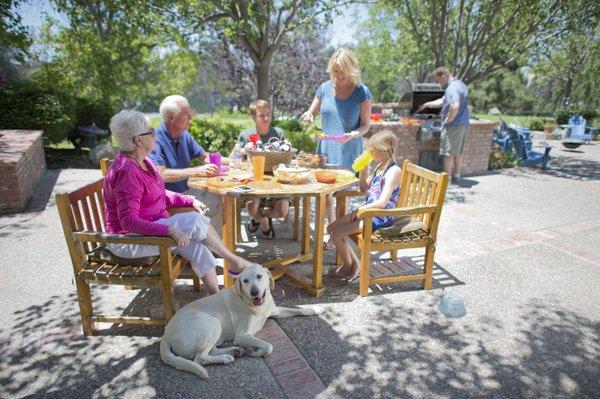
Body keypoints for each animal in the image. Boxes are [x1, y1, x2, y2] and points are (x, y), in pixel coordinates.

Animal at [158, 264, 318, 380]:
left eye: (259, 276)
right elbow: (269, 346)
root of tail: (165, 334)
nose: (254, 292)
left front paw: (313, 310)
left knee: (210, 351)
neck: (256, 306)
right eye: (245, 281)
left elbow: (295, 309)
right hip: (213, 323)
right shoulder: (243, 335)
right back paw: (225, 357)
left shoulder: (274, 311)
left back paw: (234, 351)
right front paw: (256, 352)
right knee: (200, 358)